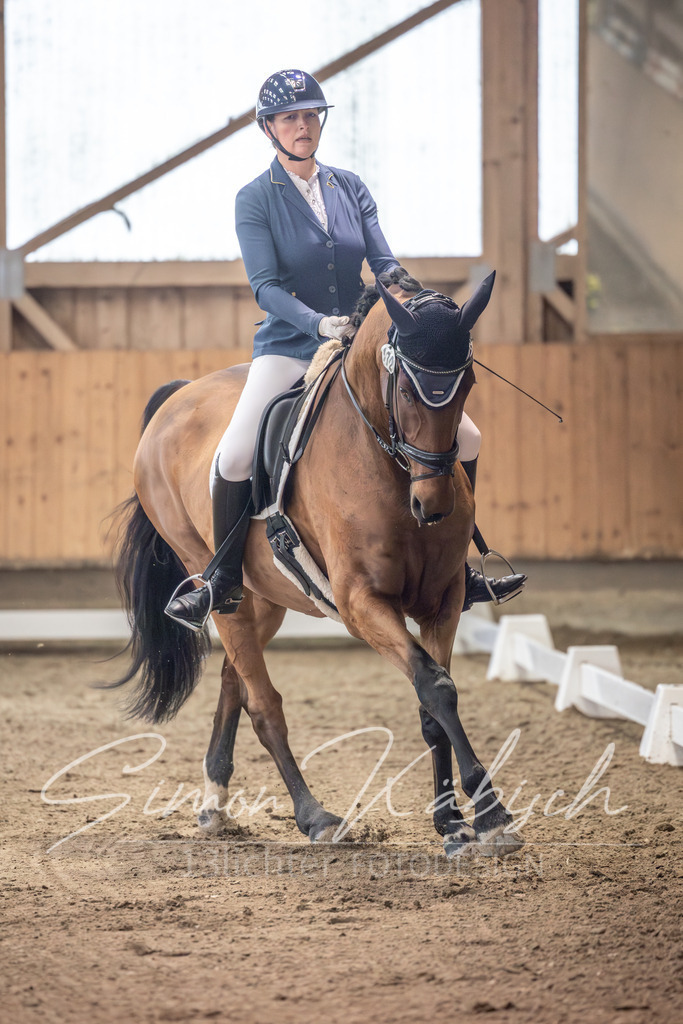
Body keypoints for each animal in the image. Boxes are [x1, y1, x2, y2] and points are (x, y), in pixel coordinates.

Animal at [110, 270, 523, 858]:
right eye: (404, 389)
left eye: (466, 385)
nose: (434, 506)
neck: (385, 462)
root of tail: (178, 396)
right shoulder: (362, 603)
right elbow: (436, 686)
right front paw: (491, 814)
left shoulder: (442, 602)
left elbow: (432, 703)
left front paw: (452, 823)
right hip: (212, 576)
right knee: (263, 704)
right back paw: (315, 817)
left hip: (261, 597)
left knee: (234, 680)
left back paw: (214, 802)